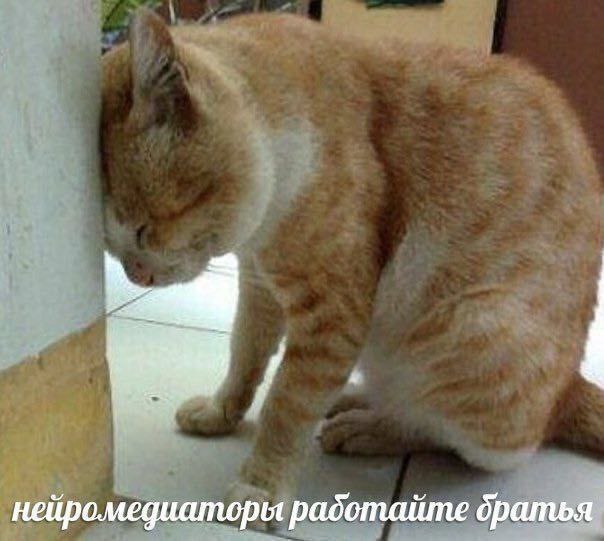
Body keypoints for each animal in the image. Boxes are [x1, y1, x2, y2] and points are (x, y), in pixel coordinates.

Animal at [101, 7, 604, 528]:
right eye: (110, 248)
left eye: (142, 231)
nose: (138, 276)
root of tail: (570, 388)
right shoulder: (259, 285)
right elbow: (244, 354)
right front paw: (222, 412)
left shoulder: (331, 318)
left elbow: (287, 406)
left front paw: (261, 486)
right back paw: (358, 398)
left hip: (467, 326)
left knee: (457, 436)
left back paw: (369, 427)